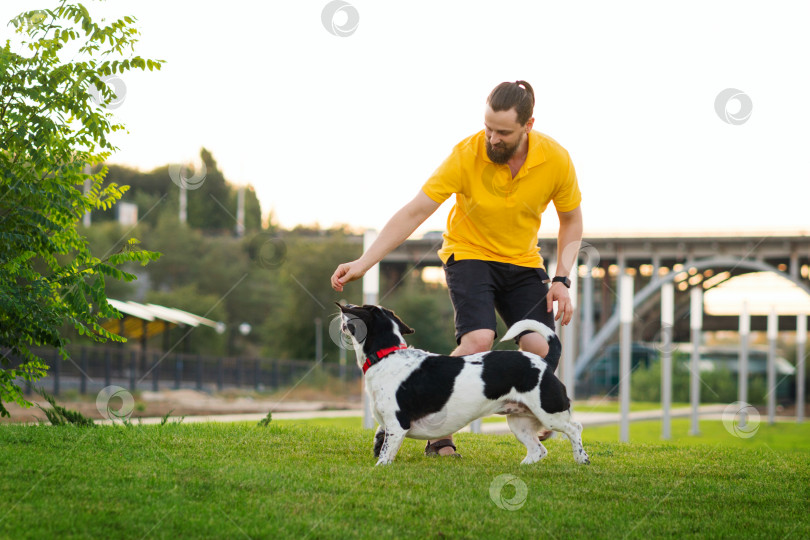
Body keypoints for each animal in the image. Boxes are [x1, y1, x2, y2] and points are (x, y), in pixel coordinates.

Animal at [338, 302, 592, 466]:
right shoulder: (390, 425)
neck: (387, 355)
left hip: (550, 413)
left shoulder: (397, 424)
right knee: (539, 450)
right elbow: (382, 444)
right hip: (519, 422)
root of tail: (545, 361)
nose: (342, 308)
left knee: (575, 429)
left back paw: (582, 459)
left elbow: (385, 455)